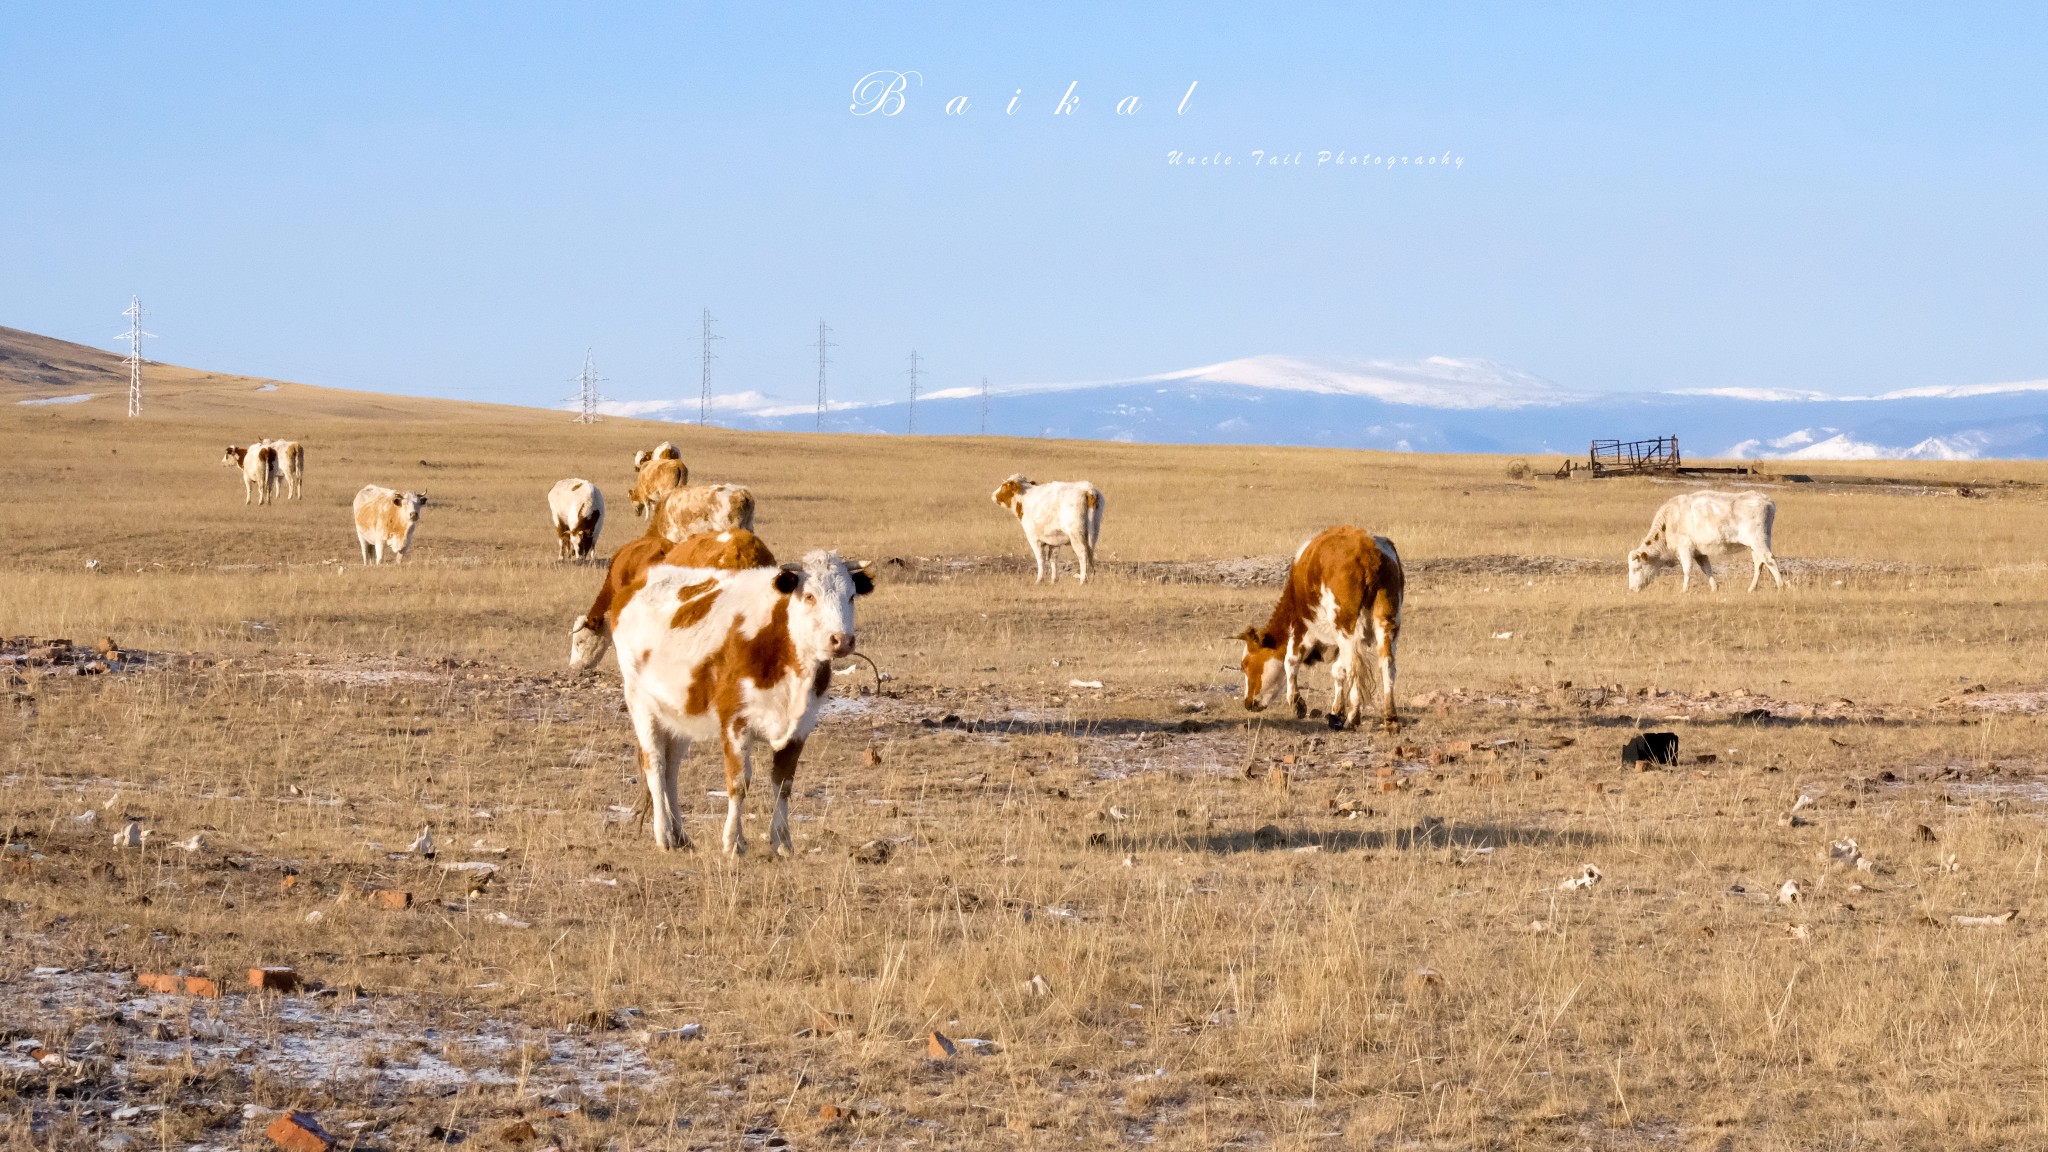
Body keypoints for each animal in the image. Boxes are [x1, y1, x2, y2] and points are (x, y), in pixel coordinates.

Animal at [602, 545, 868, 852]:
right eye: (810, 595)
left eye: (851, 596)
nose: (841, 640)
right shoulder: (734, 721)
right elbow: (739, 782)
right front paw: (733, 841)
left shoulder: (800, 727)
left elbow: (783, 783)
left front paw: (782, 841)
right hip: (641, 703)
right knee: (655, 764)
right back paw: (665, 834)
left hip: (679, 713)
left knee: (672, 768)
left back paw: (681, 835)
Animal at [1228, 522, 1409, 725]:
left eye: (1246, 664)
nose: (1248, 702)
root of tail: (1368, 550)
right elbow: (1338, 670)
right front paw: (1337, 710)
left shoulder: (1302, 626)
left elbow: (1291, 660)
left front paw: (1297, 704)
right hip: (1389, 622)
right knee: (1387, 664)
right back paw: (1390, 717)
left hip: (1345, 625)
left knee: (1355, 666)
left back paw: (1353, 717)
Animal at [1622, 485, 1785, 590]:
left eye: (1636, 568)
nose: (1631, 589)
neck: (1668, 521)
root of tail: (1766, 499)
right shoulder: (1699, 552)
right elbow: (1707, 569)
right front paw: (1714, 587)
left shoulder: (1685, 548)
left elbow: (1687, 569)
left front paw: (1684, 590)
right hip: (1755, 545)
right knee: (1759, 563)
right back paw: (1751, 588)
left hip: (1758, 541)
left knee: (1769, 559)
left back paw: (1781, 585)